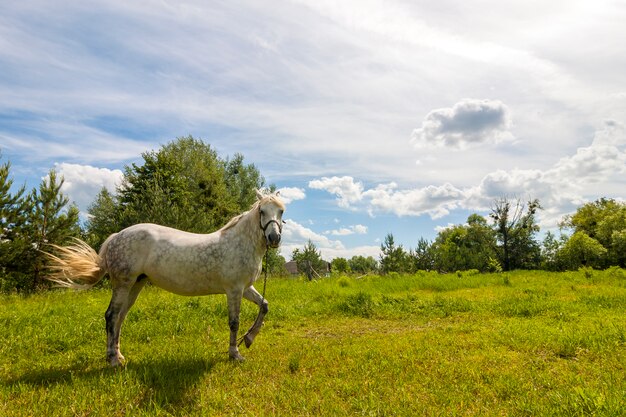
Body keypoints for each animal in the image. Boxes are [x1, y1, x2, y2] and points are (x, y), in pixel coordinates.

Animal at [45, 190, 284, 366]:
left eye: (281, 211)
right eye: (262, 211)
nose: (274, 238)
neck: (240, 242)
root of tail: (116, 236)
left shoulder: (245, 288)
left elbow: (264, 306)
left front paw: (249, 339)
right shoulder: (234, 290)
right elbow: (234, 323)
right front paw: (235, 354)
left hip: (135, 285)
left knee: (120, 317)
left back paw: (117, 354)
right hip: (123, 284)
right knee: (111, 316)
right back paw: (113, 360)